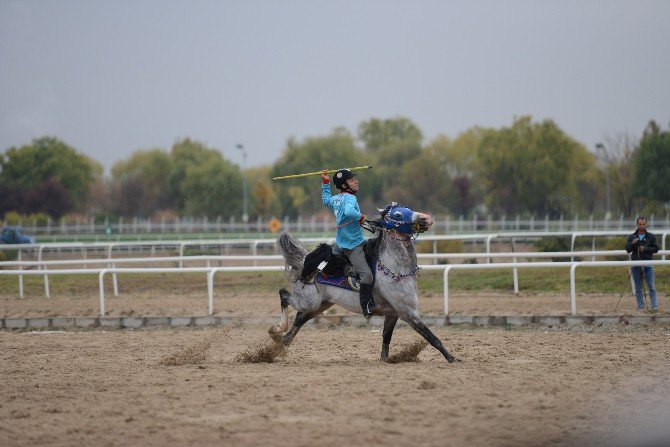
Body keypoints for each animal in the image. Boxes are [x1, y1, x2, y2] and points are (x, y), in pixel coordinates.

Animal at [270, 203, 460, 364]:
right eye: (397, 214)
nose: (426, 218)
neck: (395, 268)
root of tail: (304, 260)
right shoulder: (408, 312)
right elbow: (431, 337)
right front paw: (451, 358)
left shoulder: (393, 314)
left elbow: (386, 339)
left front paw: (384, 359)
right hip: (308, 302)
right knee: (283, 295)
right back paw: (277, 329)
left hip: (319, 305)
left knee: (298, 320)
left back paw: (280, 339)